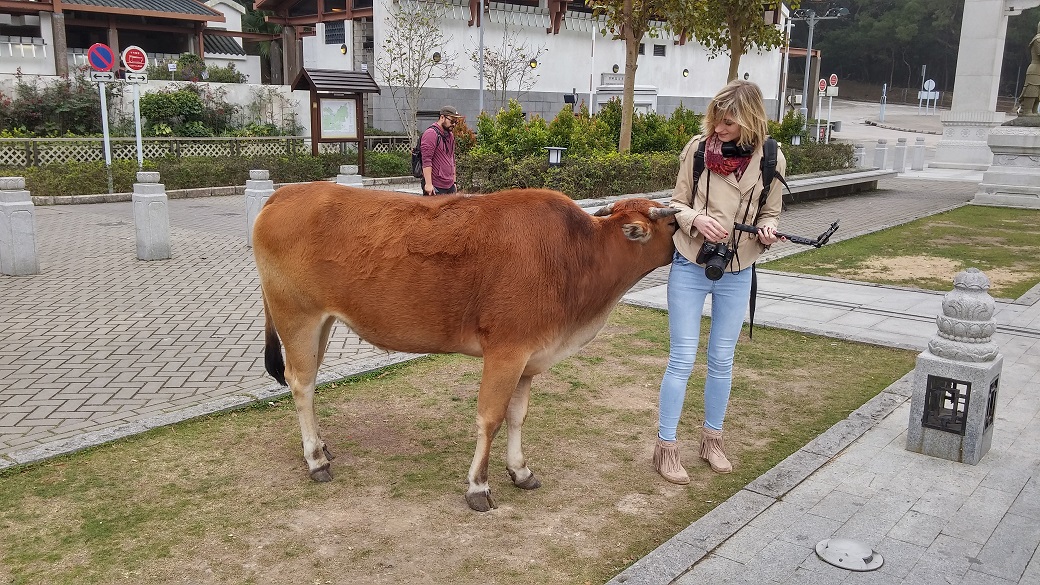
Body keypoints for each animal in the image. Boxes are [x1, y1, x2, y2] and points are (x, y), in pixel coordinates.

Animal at [249, 183, 673, 510]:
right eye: (673, 222)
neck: (578, 253)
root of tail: (287, 192)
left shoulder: (530, 358)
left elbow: (517, 416)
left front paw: (520, 470)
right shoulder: (506, 351)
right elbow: (490, 418)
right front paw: (478, 486)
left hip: (321, 323)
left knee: (309, 383)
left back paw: (321, 446)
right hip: (298, 318)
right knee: (301, 383)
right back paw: (316, 461)